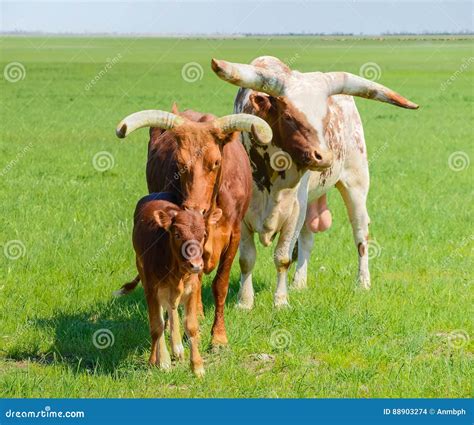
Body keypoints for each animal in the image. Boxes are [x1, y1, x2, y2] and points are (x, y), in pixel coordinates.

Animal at [115, 107, 272, 346]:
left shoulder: (234, 235)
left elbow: (220, 285)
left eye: (215, 162)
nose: (194, 209)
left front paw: (219, 337)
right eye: (180, 164)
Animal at [212, 57, 418, 308]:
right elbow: (246, 259)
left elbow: (282, 257)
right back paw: (299, 283)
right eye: (289, 116)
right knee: (308, 238)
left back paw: (363, 283)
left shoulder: (294, 210)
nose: (324, 157)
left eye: (325, 119)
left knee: (360, 235)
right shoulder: (241, 215)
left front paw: (281, 302)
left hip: (356, 184)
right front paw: (244, 302)